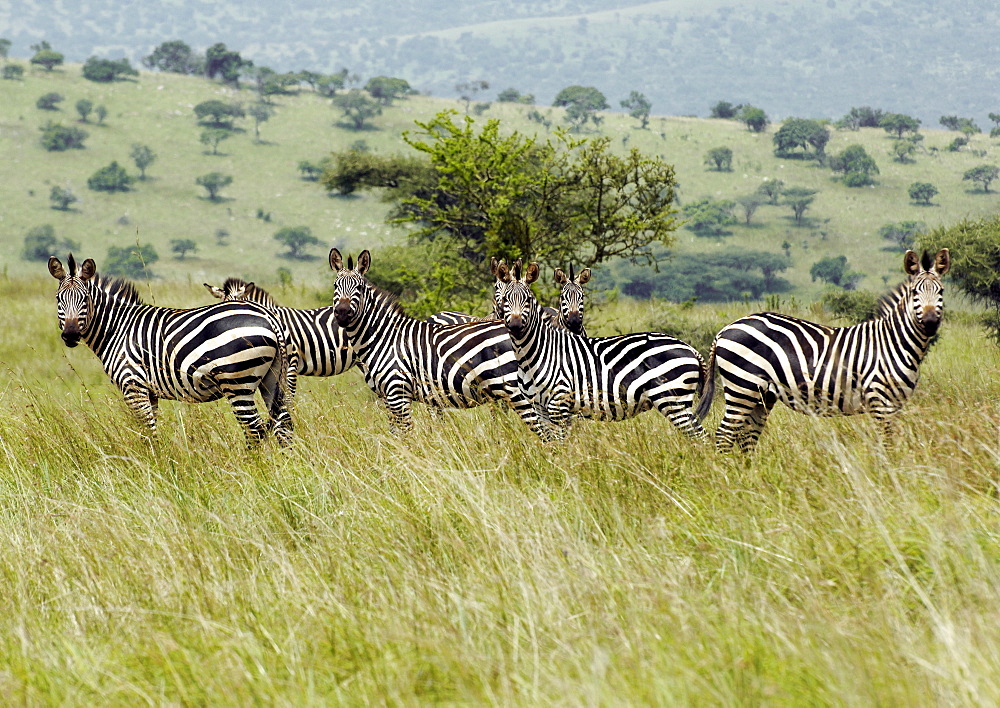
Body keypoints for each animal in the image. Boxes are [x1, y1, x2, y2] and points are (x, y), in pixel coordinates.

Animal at [49, 252, 292, 446]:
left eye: (85, 299)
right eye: (58, 299)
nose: (70, 335)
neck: (118, 328)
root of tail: (269, 316)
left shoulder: (132, 385)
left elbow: (148, 432)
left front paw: (153, 465)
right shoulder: (148, 391)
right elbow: (149, 430)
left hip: (237, 382)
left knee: (255, 430)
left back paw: (250, 467)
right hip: (271, 379)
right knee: (283, 426)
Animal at [330, 246, 560, 440]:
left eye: (359, 287)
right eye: (335, 286)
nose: (341, 313)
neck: (383, 337)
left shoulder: (397, 391)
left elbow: (405, 435)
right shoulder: (388, 396)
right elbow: (395, 434)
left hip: (518, 390)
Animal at [496, 258, 708, 440]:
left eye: (528, 300)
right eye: (505, 299)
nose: (515, 326)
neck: (532, 355)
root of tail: (690, 348)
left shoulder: (559, 404)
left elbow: (563, 446)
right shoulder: (540, 408)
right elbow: (552, 446)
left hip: (673, 400)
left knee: (701, 437)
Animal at [696, 246, 952, 450]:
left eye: (940, 292)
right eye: (915, 292)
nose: (930, 323)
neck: (894, 342)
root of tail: (724, 330)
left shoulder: (896, 403)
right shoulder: (880, 401)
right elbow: (887, 445)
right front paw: (890, 475)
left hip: (762, 395)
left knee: (747, 437)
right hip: (743, 386)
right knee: (724, 435)